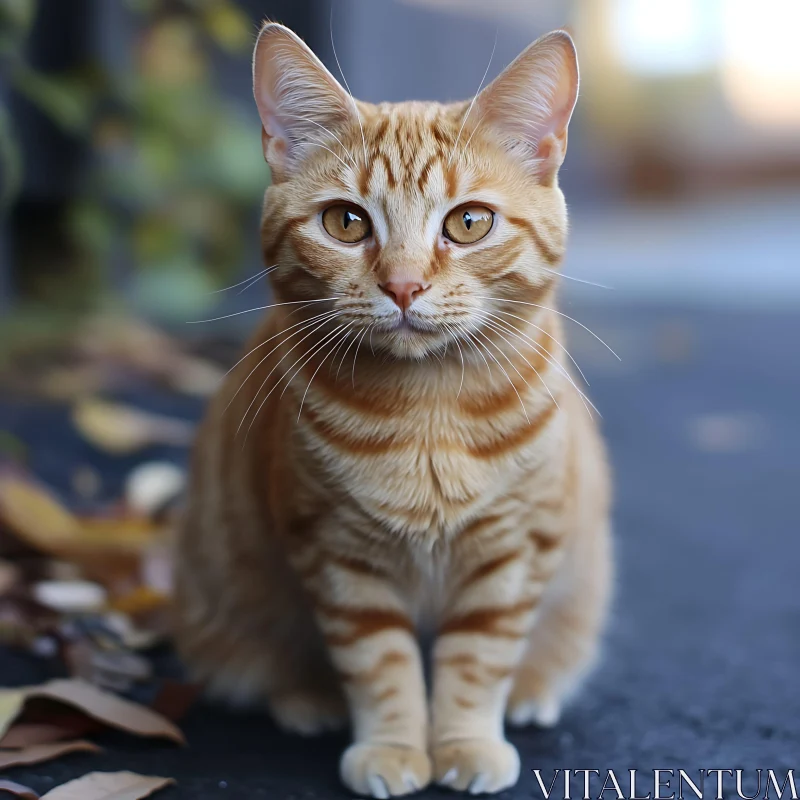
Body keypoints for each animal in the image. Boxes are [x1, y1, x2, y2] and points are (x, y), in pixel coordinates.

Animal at [175, 21, 612, 796]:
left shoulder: (512, 551)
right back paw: (306, 699)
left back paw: (534, 690)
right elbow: (380, 666)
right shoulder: (338, 556)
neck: (427, 415)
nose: (404, 285)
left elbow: (478, 663)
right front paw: (395, 747)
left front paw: (466, 743)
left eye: (468, 223)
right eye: (346, 223)